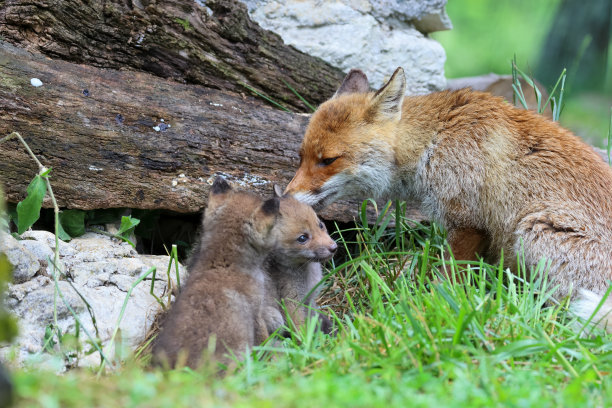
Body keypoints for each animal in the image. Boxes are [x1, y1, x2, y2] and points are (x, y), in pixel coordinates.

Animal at [286, 66, 612, 328]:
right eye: (301, 157)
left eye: (328, 160)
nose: (286, 198)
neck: (435, 140)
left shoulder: (469, 223)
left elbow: (446, 281)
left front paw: (429, 309)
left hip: (534, 230)